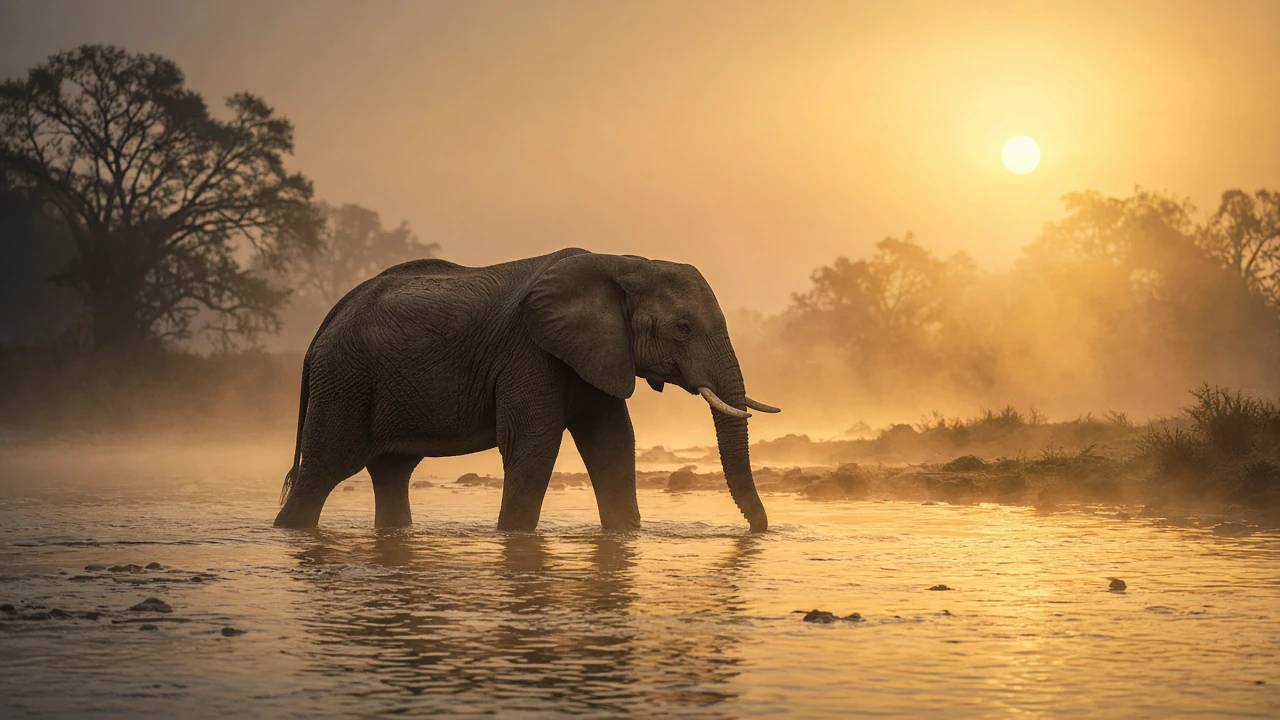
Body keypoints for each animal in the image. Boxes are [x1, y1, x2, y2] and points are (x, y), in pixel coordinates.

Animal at [273, 248, 780, 532]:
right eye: (682, 328)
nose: (760, 531)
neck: (624, 262)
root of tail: (324, 326)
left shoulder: (597, 352)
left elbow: (613, 443)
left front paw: (625, 535)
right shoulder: (529, 351)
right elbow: (533, 444)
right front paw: (514, 539)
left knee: (391, 473)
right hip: (344, 382)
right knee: (323, 470)